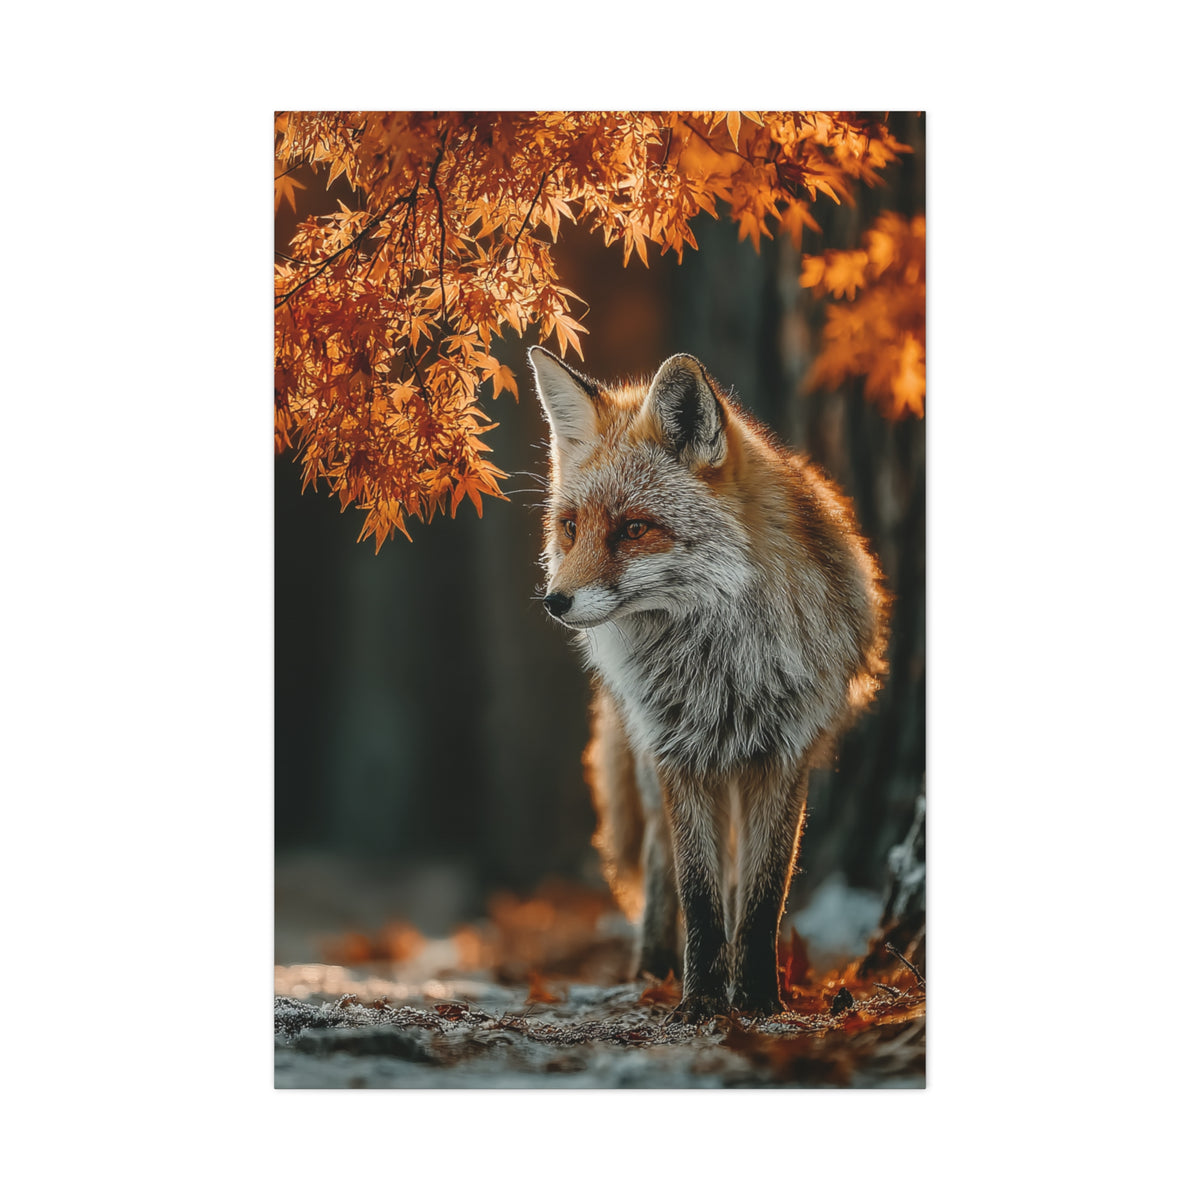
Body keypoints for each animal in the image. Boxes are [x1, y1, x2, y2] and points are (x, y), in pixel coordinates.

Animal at [530, 345, 889, 1022]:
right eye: (569, 527)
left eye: (634, 529)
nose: (554, 602)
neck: (720, 672)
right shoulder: (680, 755)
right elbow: (697, 894)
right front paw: (698, 1002)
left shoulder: (784, 757)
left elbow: (763, 895)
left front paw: (757, 1000)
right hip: (654, 766)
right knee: (660, 863)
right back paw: (654, 967)